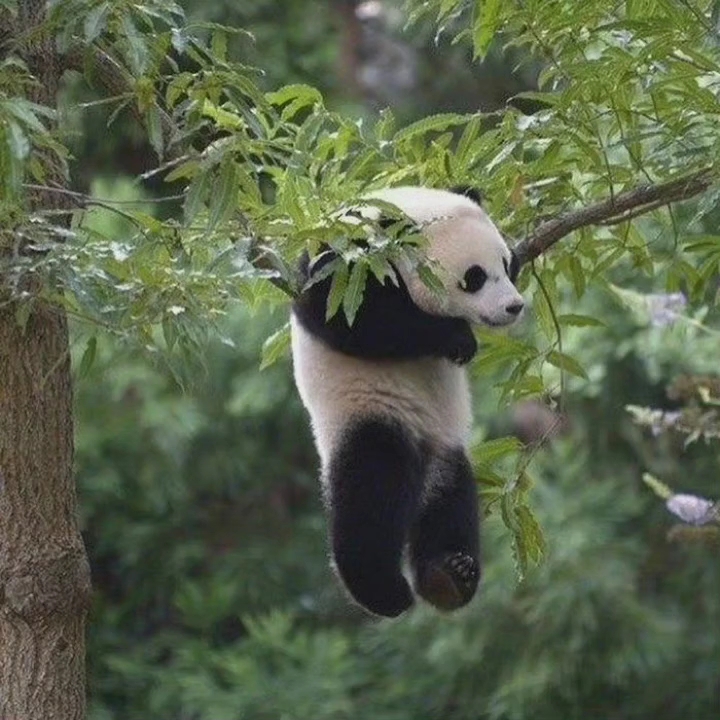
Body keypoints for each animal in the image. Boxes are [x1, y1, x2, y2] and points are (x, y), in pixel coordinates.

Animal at [288, 186, 524, 620]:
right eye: (475, 278)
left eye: (505, 262)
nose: (514, 306)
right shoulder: (344, 263)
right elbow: (349, 317)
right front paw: (456, 338)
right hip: (368, 412)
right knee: (371, 494)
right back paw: (384, 591)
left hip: (445, 446)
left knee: (450, 500)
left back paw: (448, 575)